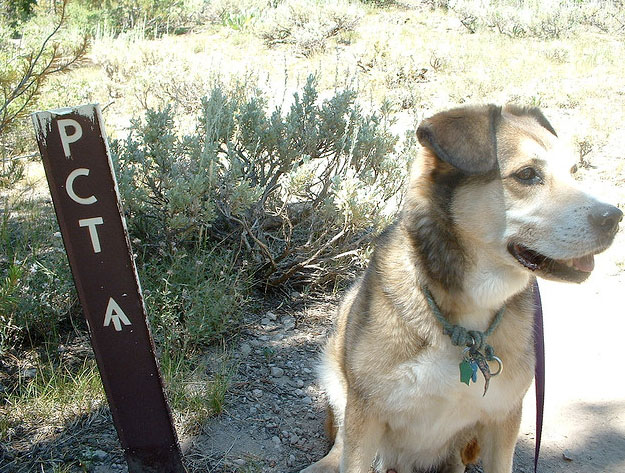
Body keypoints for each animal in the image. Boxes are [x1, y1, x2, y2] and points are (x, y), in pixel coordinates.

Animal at [300, 104, 620, 472]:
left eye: (573, 171)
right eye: (527, 174)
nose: (615, 217)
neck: (465, 320)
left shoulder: (503, 419)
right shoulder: (366, 412)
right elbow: (351, 453)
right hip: (336, 372)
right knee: (339, 437)